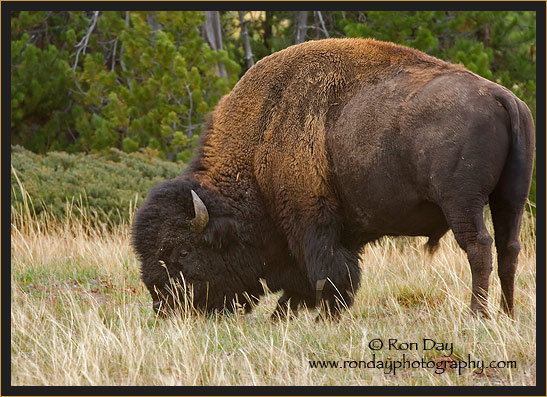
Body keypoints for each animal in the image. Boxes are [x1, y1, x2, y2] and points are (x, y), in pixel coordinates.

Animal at [133, 38, 536, 318]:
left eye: (183, 250)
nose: (163, 305)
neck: (262, 138)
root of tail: (502, 97)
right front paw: (288, 314)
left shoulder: (311, 223)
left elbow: (325, 272)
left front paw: (322, 316)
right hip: (509, 198)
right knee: (509, 248)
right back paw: (507, 313)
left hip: (461, 202)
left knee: (479, 247)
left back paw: (478, 315)